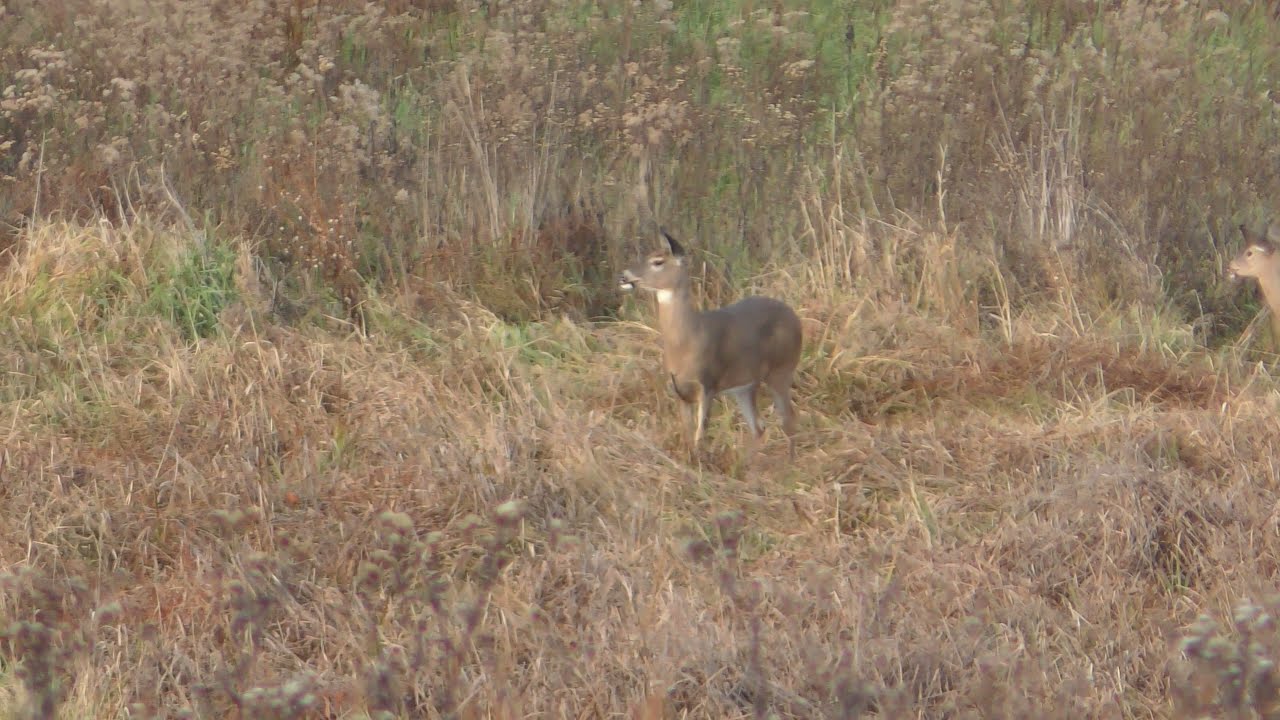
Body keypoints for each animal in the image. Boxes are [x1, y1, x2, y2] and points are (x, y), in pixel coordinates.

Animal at [619, 228, 803, 458]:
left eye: (658, 261)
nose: (624, 275)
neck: (686, 341)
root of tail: (795, 318)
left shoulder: (708, 383)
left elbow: (700, 435)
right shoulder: (678, 390)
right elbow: (688, 436)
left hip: (782, 369)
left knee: (789, 421)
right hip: (744, 385)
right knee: (759, 428)